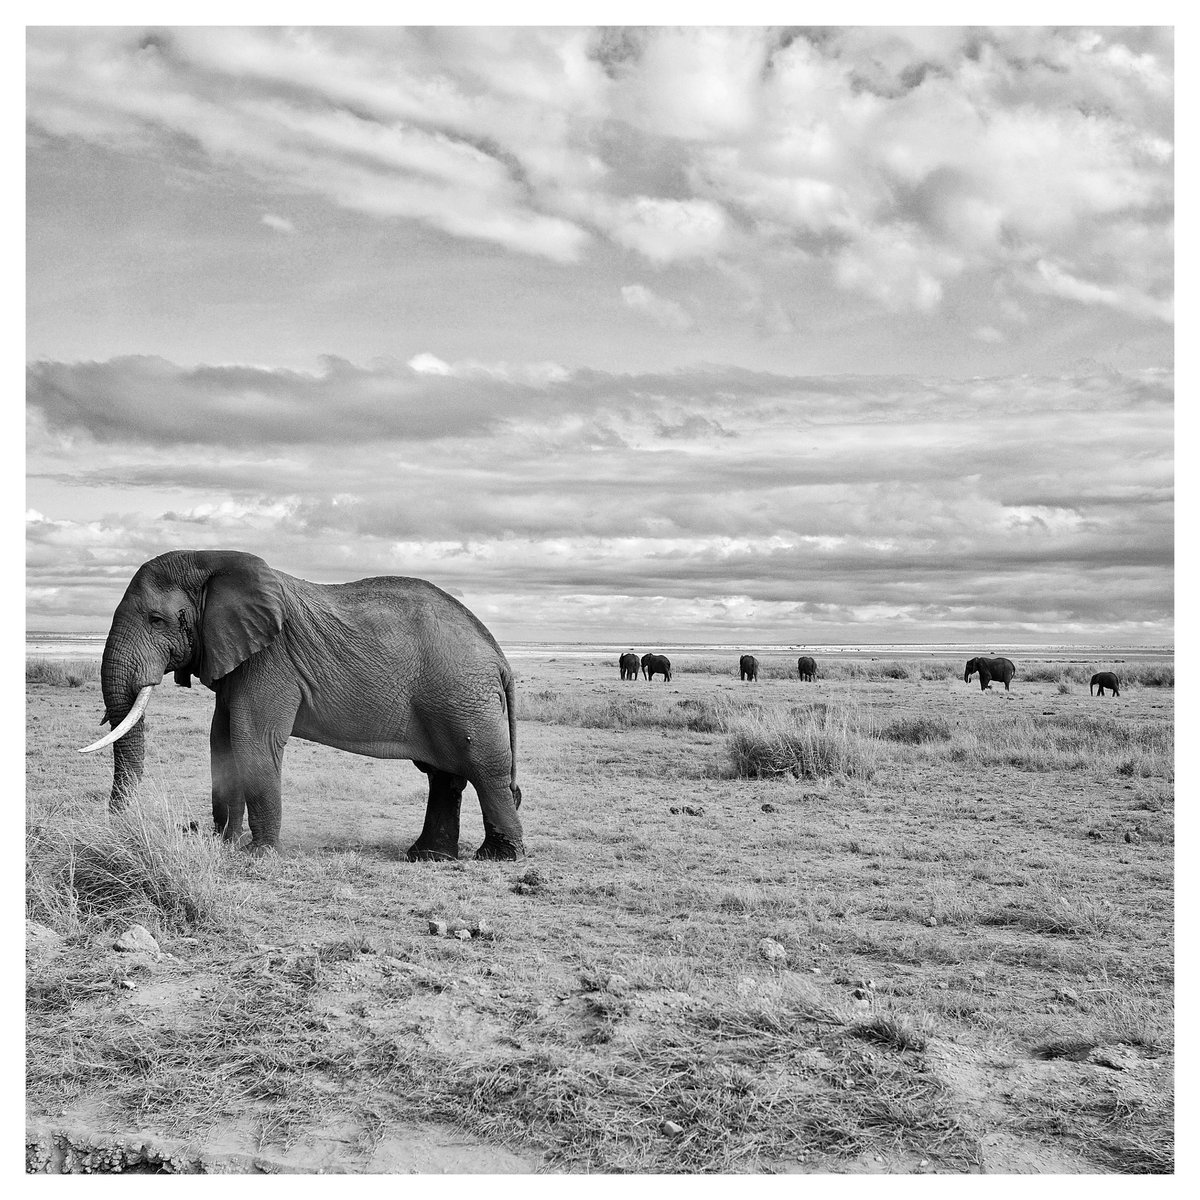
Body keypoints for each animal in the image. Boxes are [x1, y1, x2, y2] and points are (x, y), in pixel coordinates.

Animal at [78, 550, 524, 861]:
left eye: (156, 620)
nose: (119, 826)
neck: (213, 563)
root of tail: (498, 654)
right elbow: (221, 740)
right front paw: (223, 843)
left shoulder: (272, 659)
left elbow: (251, 739)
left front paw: (258, 855)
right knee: (443, 776)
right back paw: (427, 857)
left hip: (463, 696)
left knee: (483, 767)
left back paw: (498, 857)